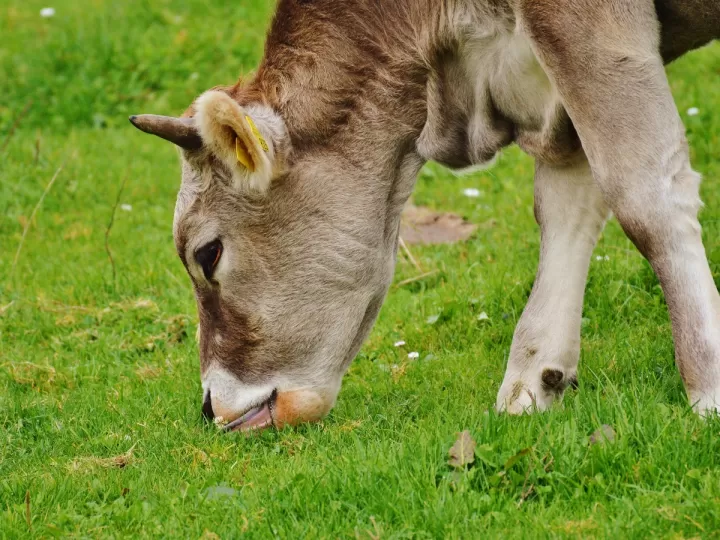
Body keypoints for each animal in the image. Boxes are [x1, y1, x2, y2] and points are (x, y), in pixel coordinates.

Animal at [130, 0, 720, 431]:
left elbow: (644, 199)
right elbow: (564, 205)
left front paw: (709, 388)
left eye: (208, 254)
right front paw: (533, 379)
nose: (210, 405)